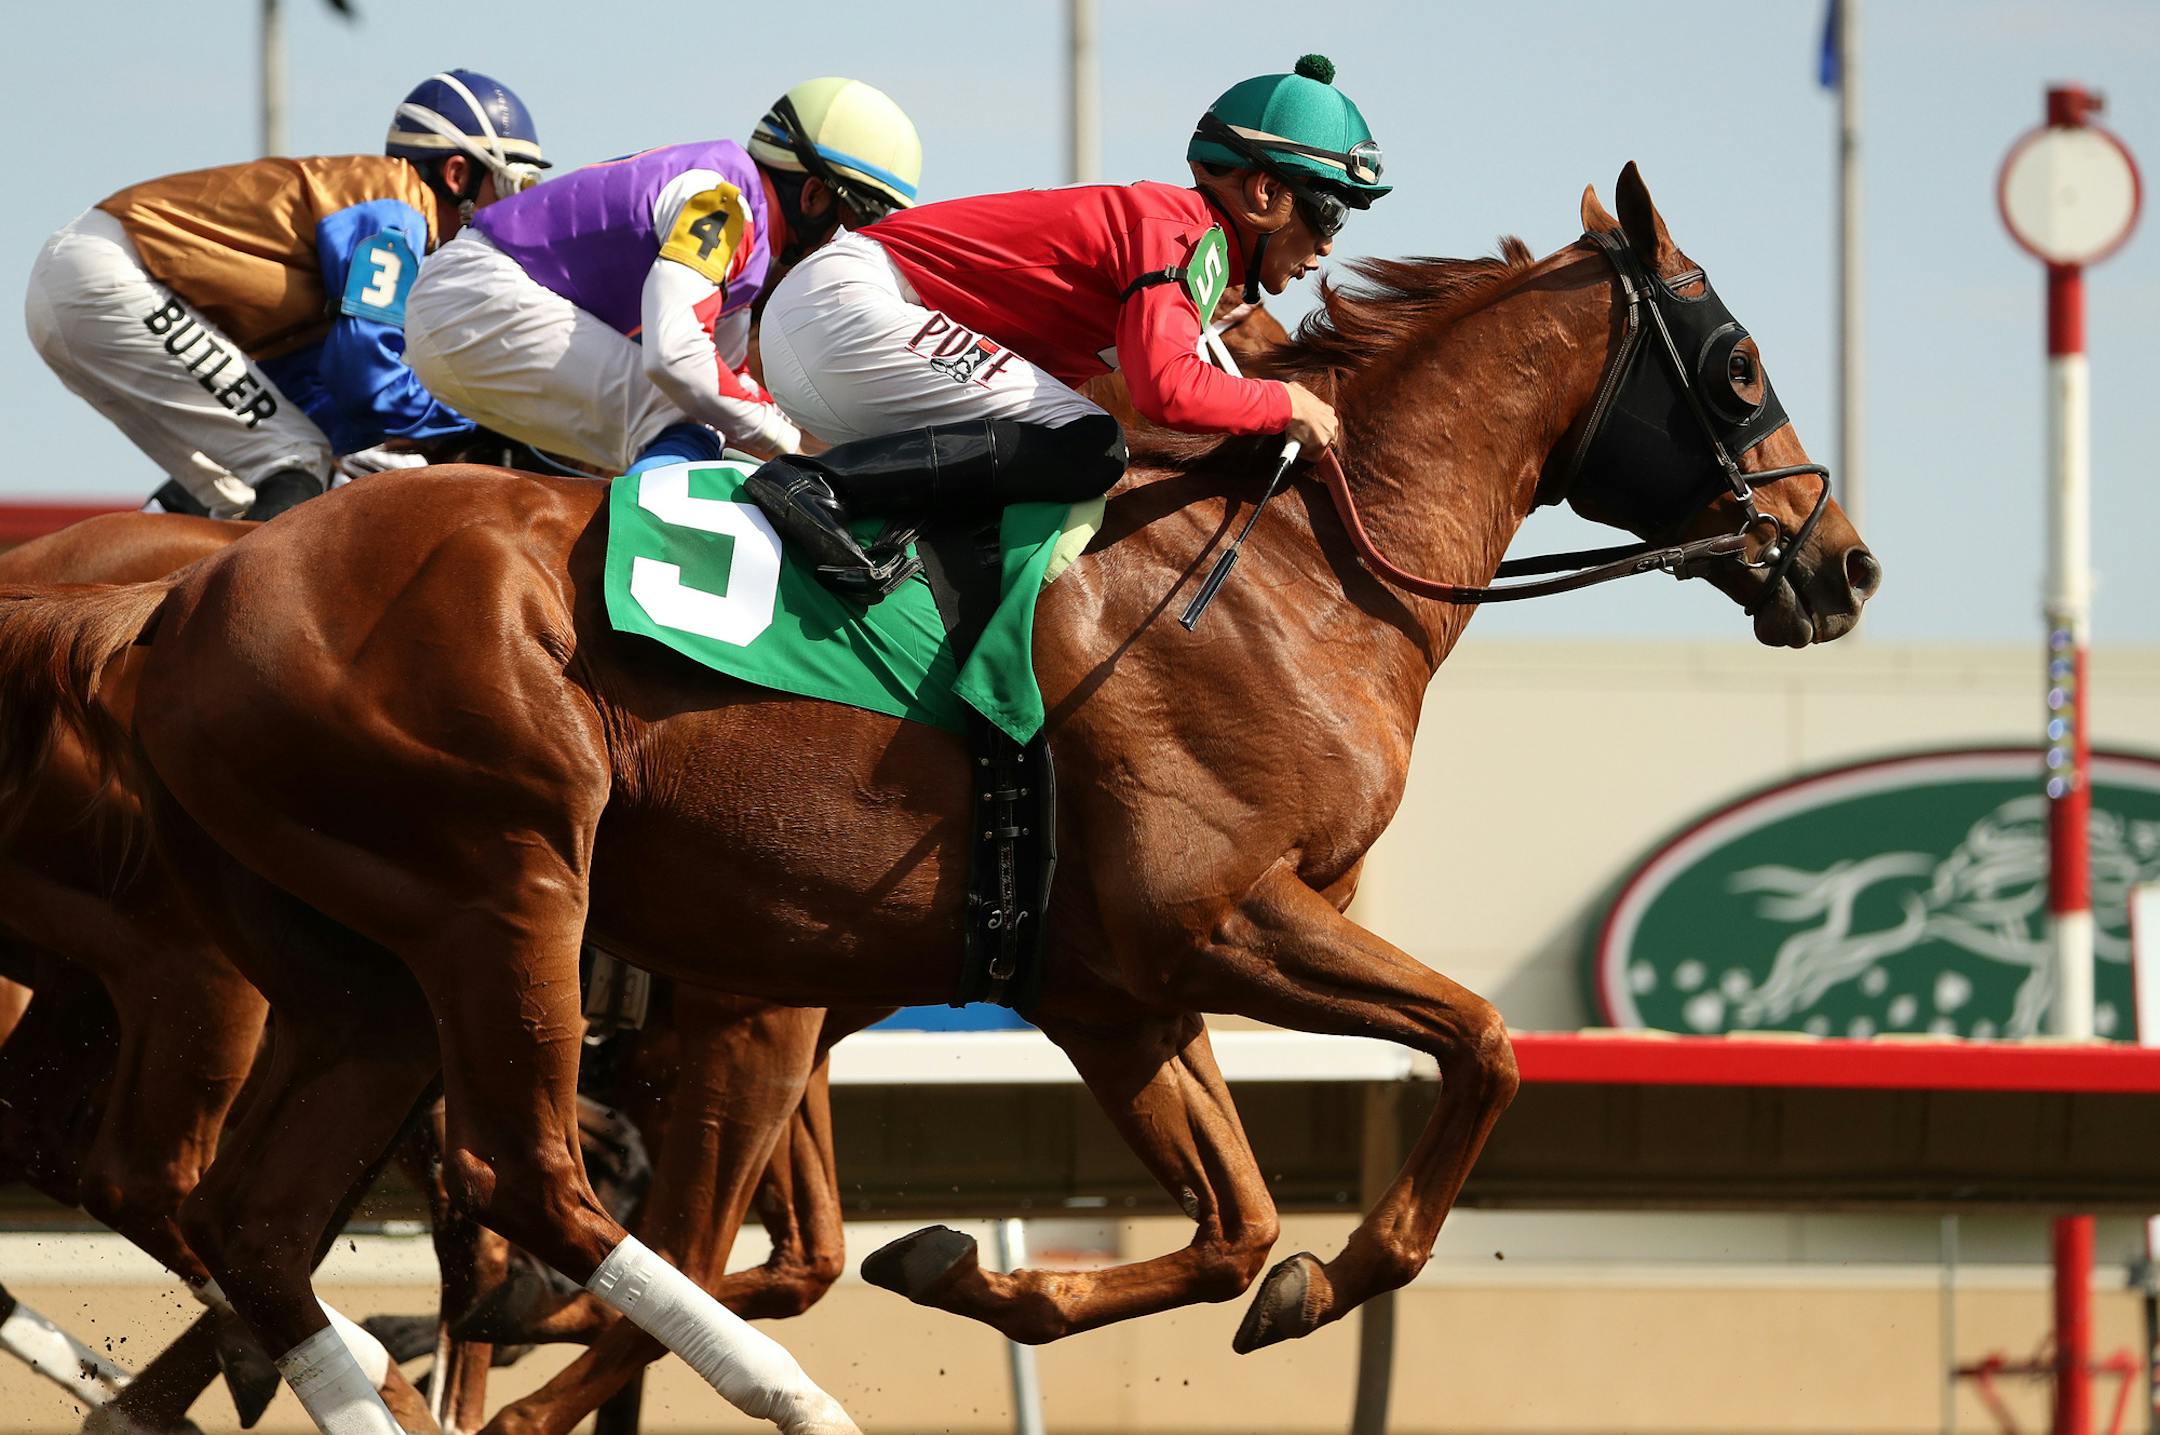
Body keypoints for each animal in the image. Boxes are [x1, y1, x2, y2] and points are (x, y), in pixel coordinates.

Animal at [0, 166, 1877, 1435]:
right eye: (1735, 364)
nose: (1841, 564)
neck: (1301, 570)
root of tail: (172, 606)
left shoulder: (1104, 982)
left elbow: (1230, 1227)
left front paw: (988, 1270)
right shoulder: (1203, 924)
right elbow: (1484, 1048)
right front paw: (1329, 1278)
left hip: (351, 970)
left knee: (243, 1215)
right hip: (492, 888)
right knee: (510, 1183)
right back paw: (764, 1391)